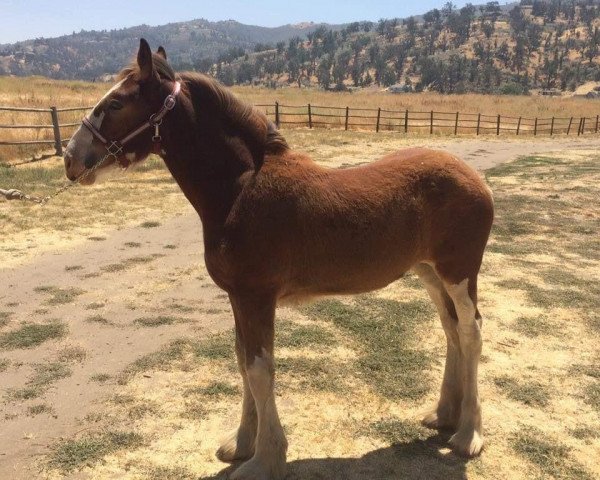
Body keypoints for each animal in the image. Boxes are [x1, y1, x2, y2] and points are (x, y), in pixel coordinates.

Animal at [64, 39, 492, 478]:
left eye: (116, 103)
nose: (70, 158)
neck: (241, 189)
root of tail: (475, 178)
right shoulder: (238, 298)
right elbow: (242, 362)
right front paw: (241, 443)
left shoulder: (257, 297)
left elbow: (259, 369)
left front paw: (265, 458)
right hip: (430, 273)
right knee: (451, 330)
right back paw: (444, 415)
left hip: (459, 273)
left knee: (471, 331)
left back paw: (468, 435)